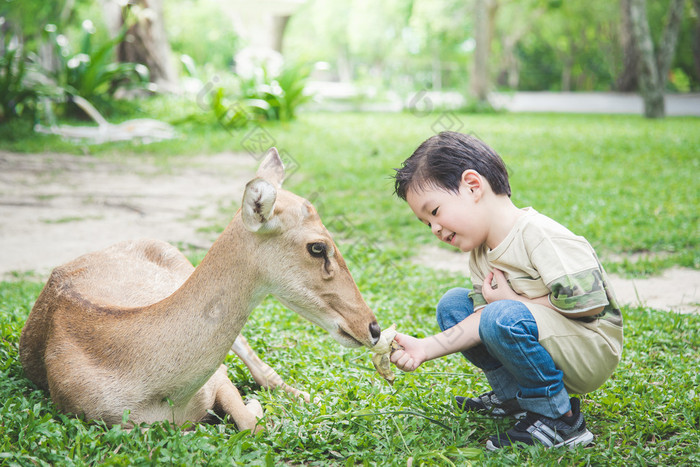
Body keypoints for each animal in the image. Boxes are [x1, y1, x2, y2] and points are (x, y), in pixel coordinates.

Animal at [20, 148, 382, 434]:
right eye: (318, 247)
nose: (373, 328)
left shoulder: (218, 377)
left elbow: (247, 419)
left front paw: (258, 406)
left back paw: (313, 397)